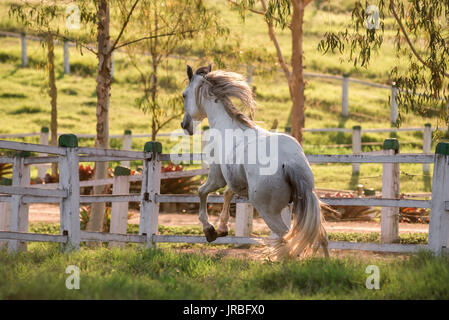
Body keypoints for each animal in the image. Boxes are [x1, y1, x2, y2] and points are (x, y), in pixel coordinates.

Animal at [179, 65, 328, 260]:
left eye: (184, 95)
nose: (184, 125)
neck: (228, 126)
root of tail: (289, 163)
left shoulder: (216, 177)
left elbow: (201, 191)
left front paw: (209, 230)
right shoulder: (238, 183)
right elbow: (227, 194)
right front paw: (222, 228)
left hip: (268, 212)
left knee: (288, 240)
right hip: (307, 205)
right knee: (321, 237)